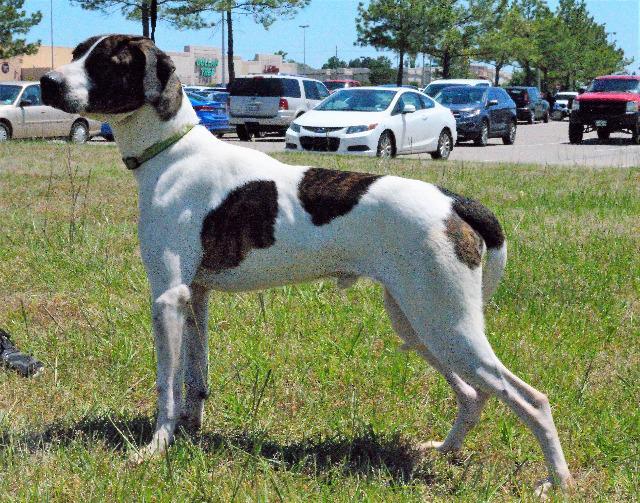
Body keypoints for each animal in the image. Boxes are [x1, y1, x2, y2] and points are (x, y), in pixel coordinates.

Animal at [41, 35, 576, 496]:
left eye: (105, 60)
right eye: (76, 51)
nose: (46, 82)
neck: (172, 154)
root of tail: (452, 200)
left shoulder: (168, 298)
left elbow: (166, 389)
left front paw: (155, 450)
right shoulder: (196, 298)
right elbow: (195, 381)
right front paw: (189, 435)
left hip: (448, 327)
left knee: (532, 400)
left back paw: (557, 481)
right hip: (419, 324)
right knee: (472, 394)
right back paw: (442, 451)